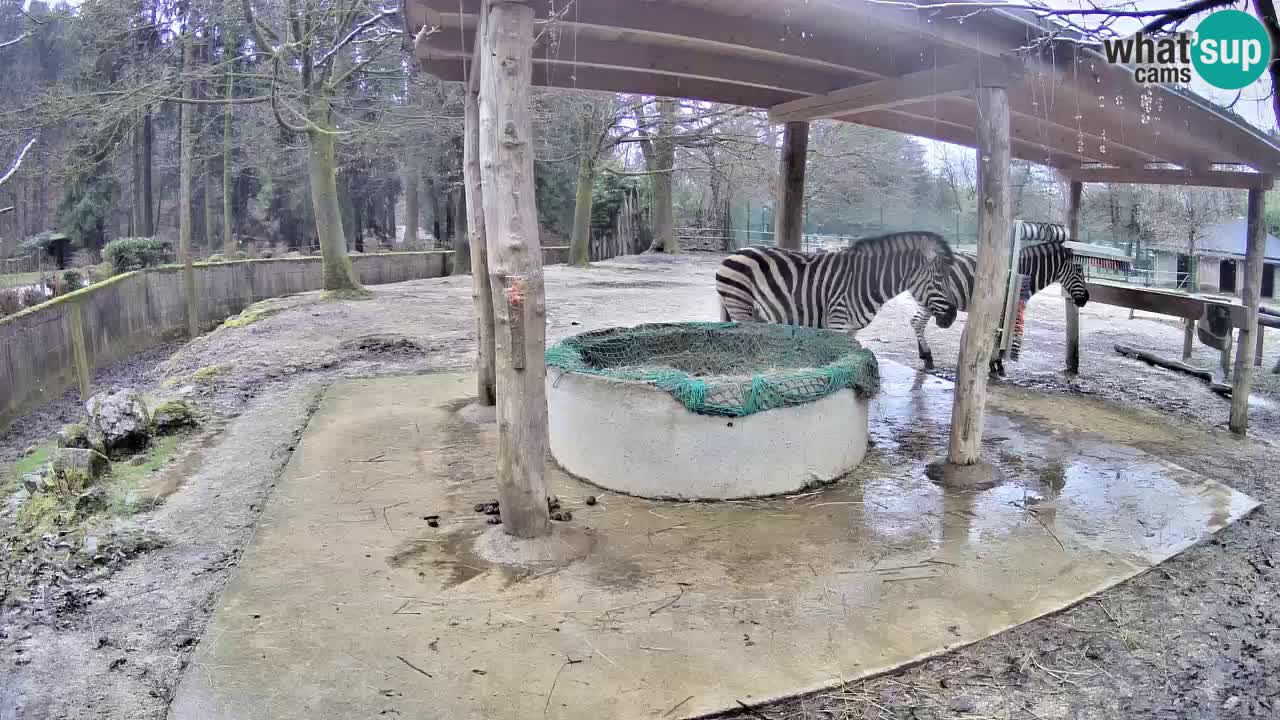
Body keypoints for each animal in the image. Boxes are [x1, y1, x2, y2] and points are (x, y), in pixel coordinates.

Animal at [716, 230, 957, 338]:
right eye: (939, 279)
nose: (953, 317)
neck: (866, 281)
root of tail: (736, 251)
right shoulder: (837, 324)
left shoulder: (852, 331)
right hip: (740, 308)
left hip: (755, 313)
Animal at [911, 225, 1090, 371]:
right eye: (1078, 270)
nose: (1085, 299)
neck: (1024, 272)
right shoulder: (1004, 305)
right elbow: (997, 336)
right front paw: (996, 364)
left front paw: (994, 364)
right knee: (917, 323)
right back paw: (927, 357)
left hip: (930, 300)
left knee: (916, 322)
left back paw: (925, 356)